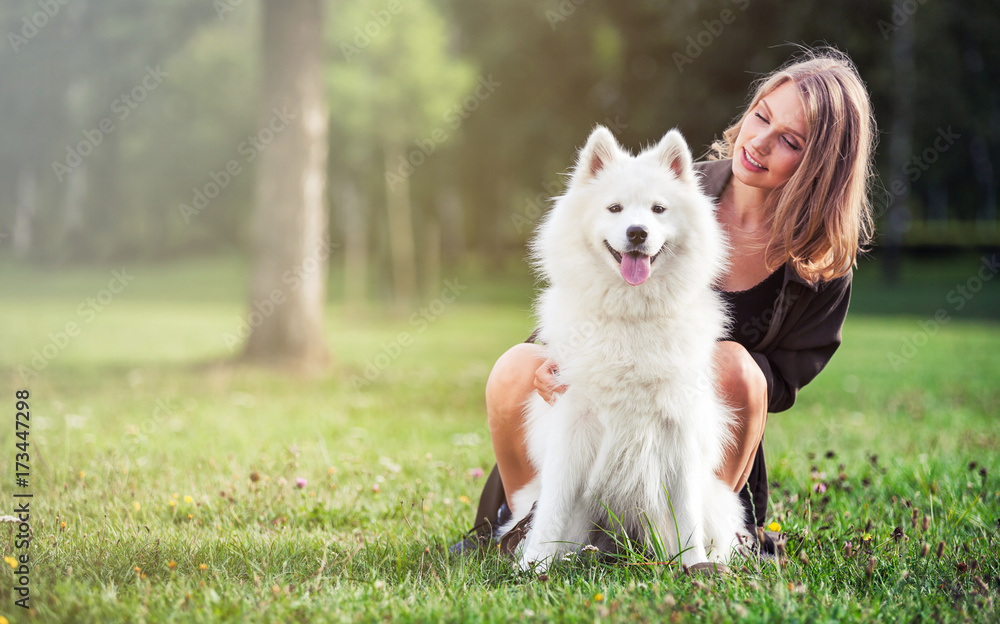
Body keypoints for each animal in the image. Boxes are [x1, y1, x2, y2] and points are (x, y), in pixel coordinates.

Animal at [504, 124, 748, 572]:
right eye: (614, 208)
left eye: (658, 209)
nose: (638, 232)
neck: (630, 317)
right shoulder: (571, 425)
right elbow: (551, 510)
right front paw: (534, 566)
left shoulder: (680, 430)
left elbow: (685, 513)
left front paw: (693, 565)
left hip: (718, 499)